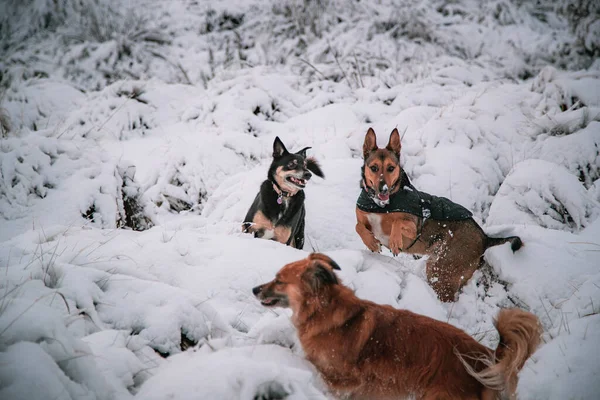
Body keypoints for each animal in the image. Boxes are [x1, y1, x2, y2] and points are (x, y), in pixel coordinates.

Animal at [356, 128, 520, 300]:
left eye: (391, 168)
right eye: (374, 168)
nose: (384, 189)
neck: (380, 205)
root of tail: (485, 238)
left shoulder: (413, 228)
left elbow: (397, 222)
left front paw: (394, 242)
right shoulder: (363, 219)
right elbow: (358, 226)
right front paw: (371, 242)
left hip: (442, 271)